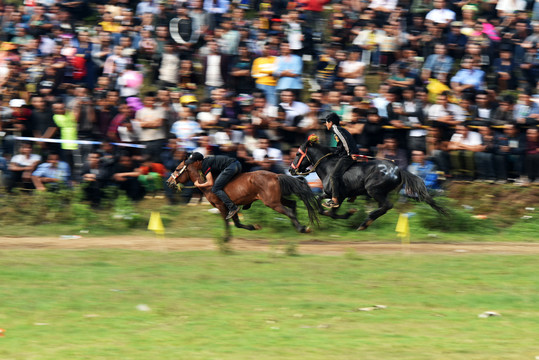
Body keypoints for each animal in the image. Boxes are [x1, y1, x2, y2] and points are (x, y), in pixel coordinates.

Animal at [167, 160, 318, 242]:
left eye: (177, 169)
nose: (169, 182)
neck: (208, 184)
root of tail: (276, 175)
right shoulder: (231, 207)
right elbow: (237, 223)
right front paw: (253, 227)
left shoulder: (222, 206)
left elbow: (228, 222)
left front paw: (226, 238)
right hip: (278, 199)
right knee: (292, 204)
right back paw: (298, 226)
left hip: (272, 203)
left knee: (289, 212)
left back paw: (301, 228)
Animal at [288, 136, 450, 231]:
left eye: (298, 154)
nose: (291, 170)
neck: (328, 167)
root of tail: (398, 170)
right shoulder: (332, 195)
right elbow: (323, 206)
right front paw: (347, 213)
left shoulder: (338, 195)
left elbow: (331, 211)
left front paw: (350, 213)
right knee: (384, 207)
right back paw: (367, 221)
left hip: (373, 190)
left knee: (386, 206)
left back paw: (365, 222)